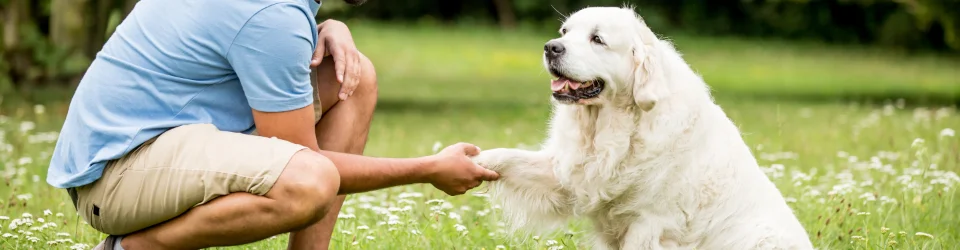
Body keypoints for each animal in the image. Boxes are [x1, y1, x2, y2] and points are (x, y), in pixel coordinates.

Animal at [470, 5, 808, 250]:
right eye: (565, 32)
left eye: (597, 39)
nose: (551, 47)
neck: (612, 127)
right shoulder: (567, 173)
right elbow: (505, 156)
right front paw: (469, 161)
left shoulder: (649, 222)